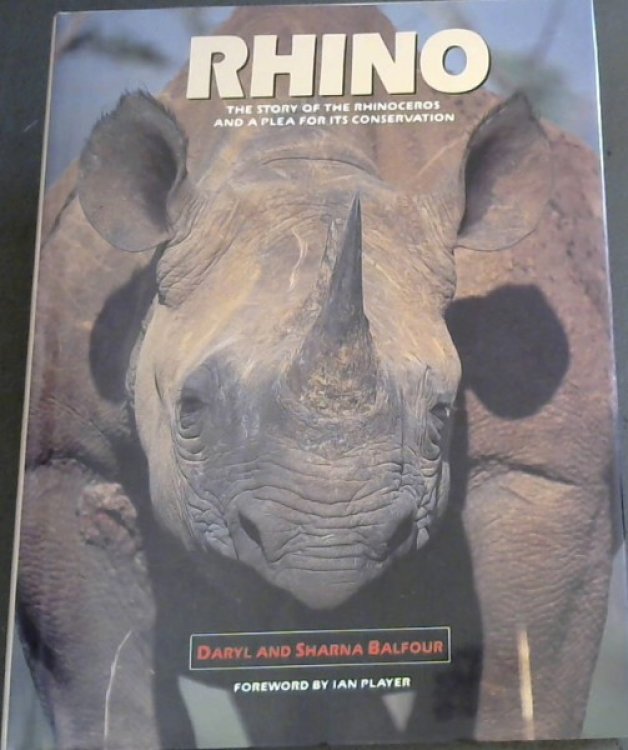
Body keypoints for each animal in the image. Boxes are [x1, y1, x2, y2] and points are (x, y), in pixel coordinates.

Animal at [15, 6, 617, 750]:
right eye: (190, 409)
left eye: (442, 414)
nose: (326, 548)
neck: (302, 154)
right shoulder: (57, 456)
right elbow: (108, 692)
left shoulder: (546, 472)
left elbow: (519, 675)